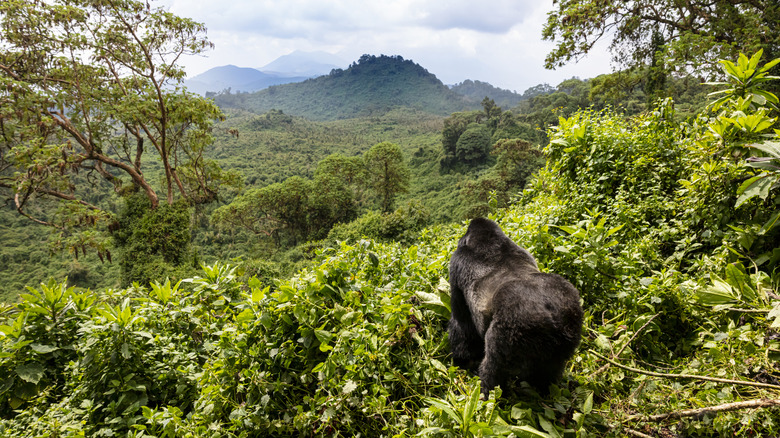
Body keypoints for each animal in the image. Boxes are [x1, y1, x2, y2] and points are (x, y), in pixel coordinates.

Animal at [448, 218, 583, 396]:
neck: (489, 241)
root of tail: (552, 316)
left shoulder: (456, 263)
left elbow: (461, 322)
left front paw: (464, 360)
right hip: (571, 320)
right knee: (551, 369)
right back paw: (543, 388)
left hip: (513, 327)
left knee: (494, 367)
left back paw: (488, 392)